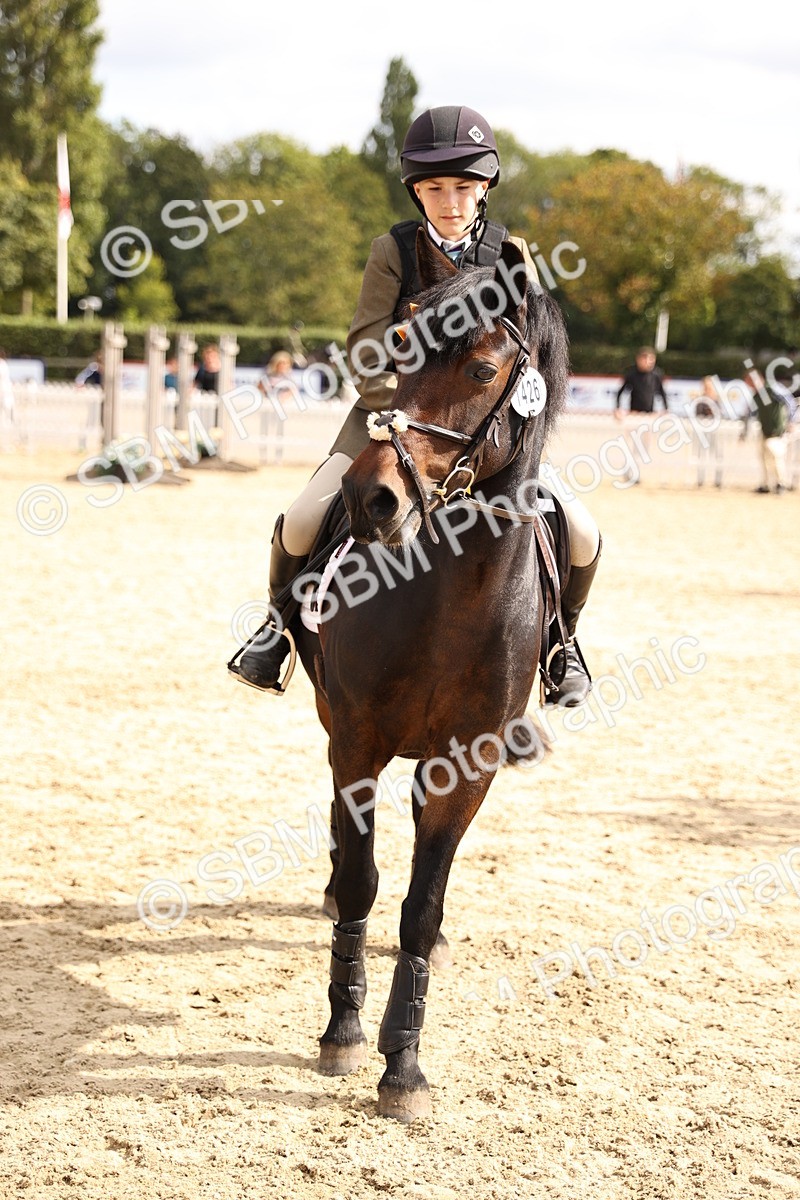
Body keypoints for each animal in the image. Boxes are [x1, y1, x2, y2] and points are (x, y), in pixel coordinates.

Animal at [292, 233, 569, 1122]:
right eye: (399, 349)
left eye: (483, 370)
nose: (371, 499)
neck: (452, 590)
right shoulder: (355, 745)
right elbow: (361, 882)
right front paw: (345, 1032)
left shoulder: (465, 766)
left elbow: (420, 906)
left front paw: (404, 1063)